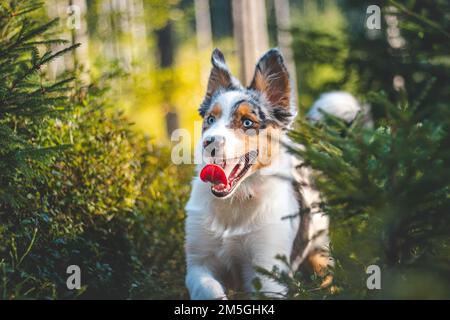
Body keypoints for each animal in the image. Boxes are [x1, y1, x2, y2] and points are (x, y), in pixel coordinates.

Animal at [185, 48, 332, 300]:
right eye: (210, 120)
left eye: (247, 122)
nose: (208, 142)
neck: (236, 200)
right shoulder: (198, 263)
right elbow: (209, 289)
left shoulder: (268, 271)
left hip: (320, 253)